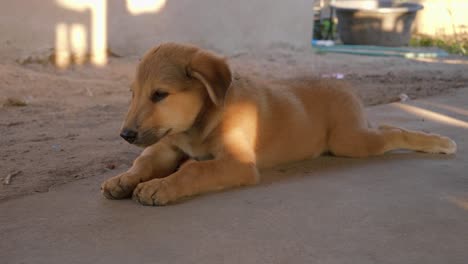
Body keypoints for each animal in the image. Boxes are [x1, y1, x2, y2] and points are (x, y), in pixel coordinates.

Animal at [100, 42, 456, 206]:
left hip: (349, 142)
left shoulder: (238, 163)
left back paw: (440, 143)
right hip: (355, 135)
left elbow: (194, 170)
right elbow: (145, 161)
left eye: (160, 95)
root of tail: (344, 85)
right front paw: (123, 179)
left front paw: (160, 186)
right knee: (383, 128)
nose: (125, 134)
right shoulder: (166, 145)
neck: (199, 125)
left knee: (393, 132)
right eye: (133, 94)